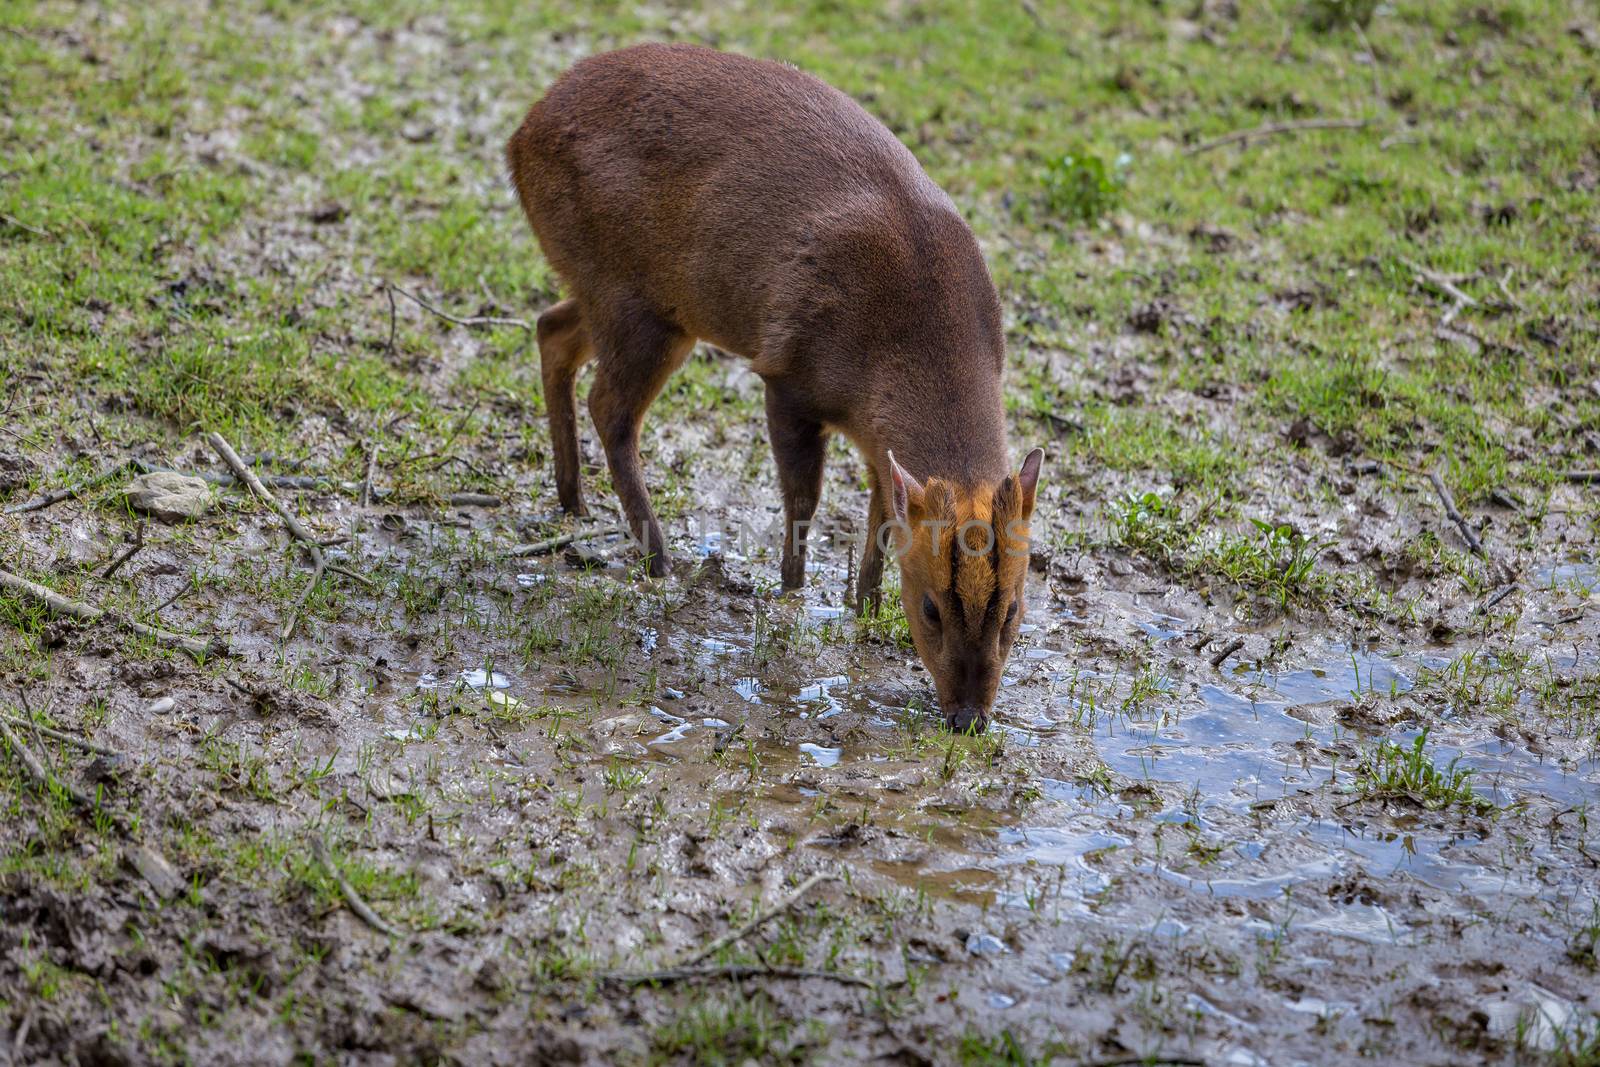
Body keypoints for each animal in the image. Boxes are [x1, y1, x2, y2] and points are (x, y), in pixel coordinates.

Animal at [505, 43, 1043, 735]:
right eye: (930, 609)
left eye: (1012, 609)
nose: (969, 718)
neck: (900, 337)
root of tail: (520, 137)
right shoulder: (787, 375)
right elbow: (803, 497)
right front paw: (792, 592)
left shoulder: (877, 442)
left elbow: (882, 512)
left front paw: (864, 606)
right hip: (634, 299)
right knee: (610, 408)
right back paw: (658, 559)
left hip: (624, 299)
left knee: (551, 330)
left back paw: (571, 501)